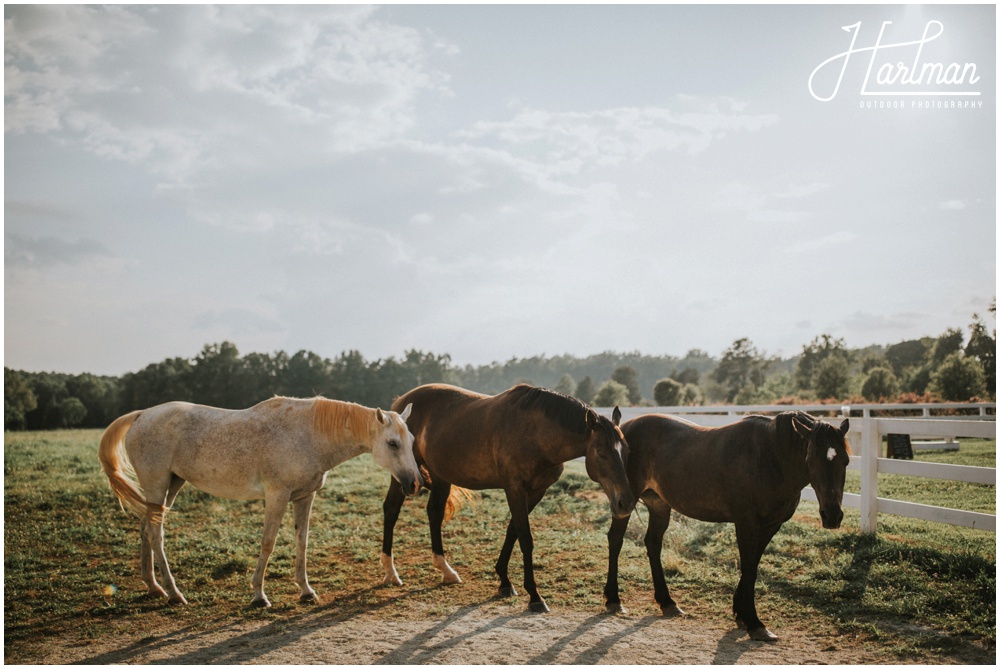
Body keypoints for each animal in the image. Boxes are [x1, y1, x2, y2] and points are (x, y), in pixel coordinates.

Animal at [103, 394, 424, 608]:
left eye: (411, 441)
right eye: (392, 443)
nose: (414, 483)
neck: (308, 435)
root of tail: (141, 415)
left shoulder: (304, 496)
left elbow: (302, 542)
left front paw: (306, 590)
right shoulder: (277, 495)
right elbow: (268, 542)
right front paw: (259, 594)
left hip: (170, 485)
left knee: (145, 528)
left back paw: (153, 586)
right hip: (157, 485)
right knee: (155, 533)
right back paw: (174, 592)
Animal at [378, 380, 636, 612]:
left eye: (627, 451)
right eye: (601, 453)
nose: (625, 502)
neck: (537, 434)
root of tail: (399, 404)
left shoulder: (536, 491)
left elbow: (513, 531)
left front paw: (504, 581)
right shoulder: (514, 488)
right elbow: (525, 538)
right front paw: (534, 596)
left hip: (440, 476)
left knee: (434, 513)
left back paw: (446, 570)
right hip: (404, 474)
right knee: (391, 511)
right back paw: (391, 573)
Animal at [600, 410, 852, 640]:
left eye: (846, 461)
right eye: (810, 460)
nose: (832, 515)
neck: (769, 457)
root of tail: (623, 428)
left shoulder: (771, 525)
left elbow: (753, 565)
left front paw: (741, 614)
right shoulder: (746, 523)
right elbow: (749, 568)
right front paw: (754, 623)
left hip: (659, 505)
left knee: (653, 543)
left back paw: (667, 602)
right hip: (624, 503)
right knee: (616, 540)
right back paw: (613, 600)